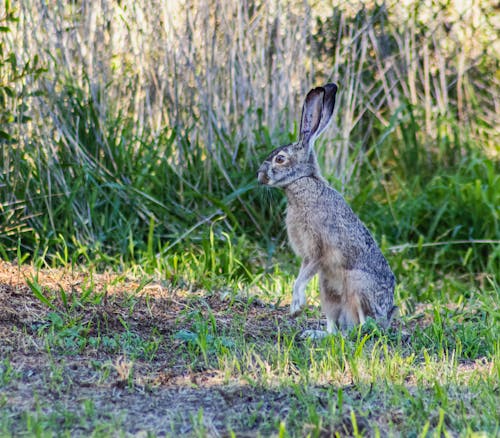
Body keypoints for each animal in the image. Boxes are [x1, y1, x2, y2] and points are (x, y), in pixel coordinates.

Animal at [258, 84, 394, 334]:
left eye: (280, 159)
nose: (259, 176)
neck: (302, 183)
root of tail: (387, 317)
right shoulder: (308, 256)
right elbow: (300, 274)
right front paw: (295, 309)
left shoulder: (318, 250)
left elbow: (302, 277)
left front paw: (296, 306)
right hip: (327, 288)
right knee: (335, 325)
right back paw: (316, 334)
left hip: (357, 285)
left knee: (362, 328)